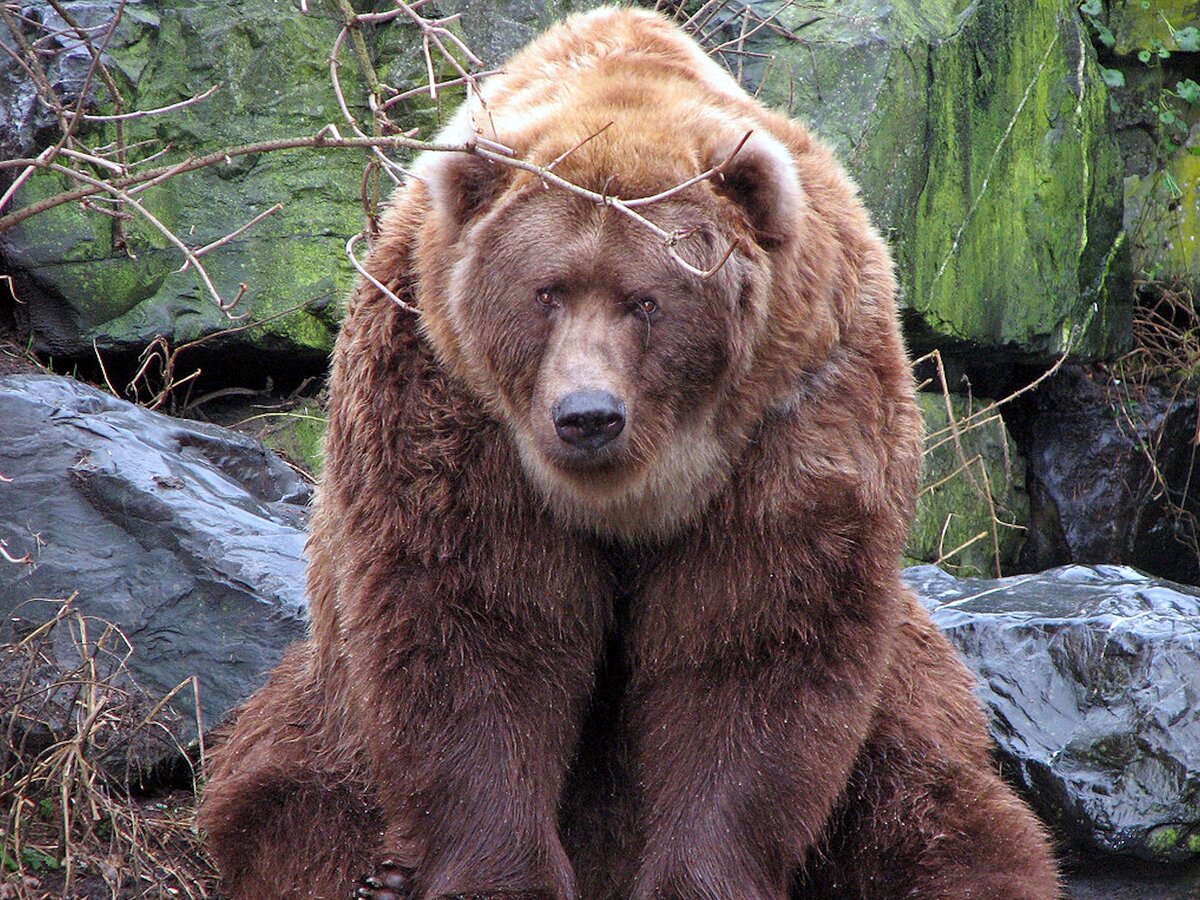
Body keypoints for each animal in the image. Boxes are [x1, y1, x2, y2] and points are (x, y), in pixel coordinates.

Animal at [196, 8, 1060, 900]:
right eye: (546, 293)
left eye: (645, 300)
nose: (587, 416)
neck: (638, 489)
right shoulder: (444, 393)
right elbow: (475, 626)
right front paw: (500, 874)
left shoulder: (801, 410)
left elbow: (753, 643)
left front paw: (700, 874)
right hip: (329, 705)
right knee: (289, 792)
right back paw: (380, 873)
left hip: (904, 683)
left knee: (932, 799)